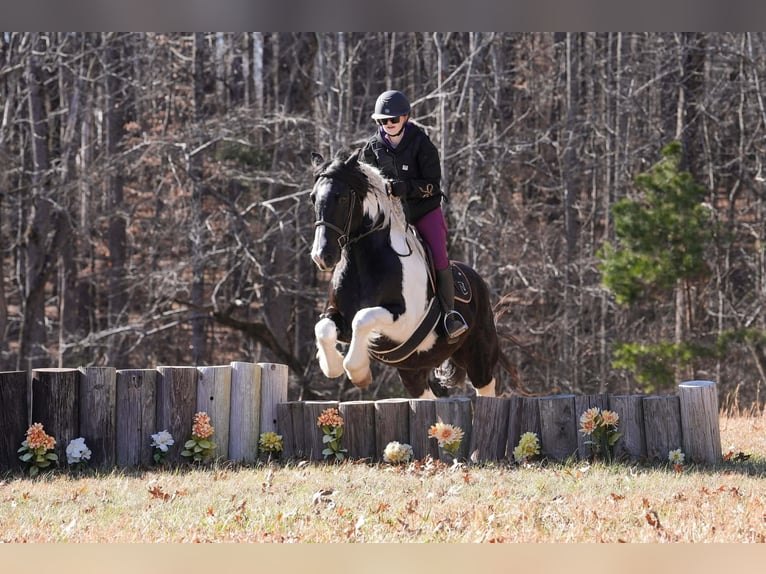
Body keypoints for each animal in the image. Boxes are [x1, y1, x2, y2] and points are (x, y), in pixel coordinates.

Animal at [309, 149, 500, 399]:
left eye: (341, 198)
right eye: (313, 197)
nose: (322, 256)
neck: (363, 265)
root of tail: (477, 280)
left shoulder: (404, 321)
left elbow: (363, 318)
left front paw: (358, 372)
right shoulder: (339, 318)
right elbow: (322, 329)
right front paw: (332, 365)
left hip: (479, 357)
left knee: (486, 387)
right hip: (413, 370)